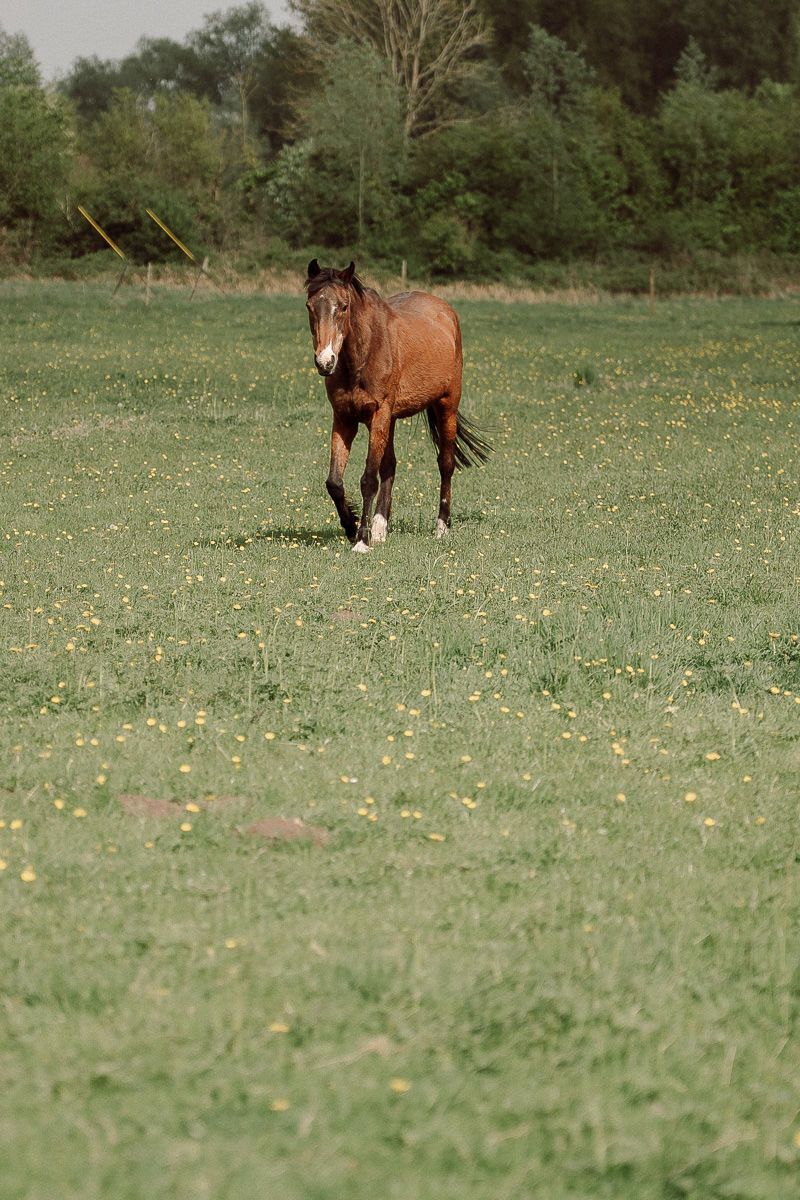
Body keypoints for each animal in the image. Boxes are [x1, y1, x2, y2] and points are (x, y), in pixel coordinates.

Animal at [305, 259, 491, 552]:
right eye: (310, 306)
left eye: (343, 307)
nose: (325, 361)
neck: (363, 355)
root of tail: (444, 310)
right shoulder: (344, 418)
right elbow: (334, 481)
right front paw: (351, 526)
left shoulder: (378, 414)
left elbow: (368, 479)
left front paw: (362, 540)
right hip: (390, 420)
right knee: (390, 465)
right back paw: (381, 527)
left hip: (446, 406)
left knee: (445, 463)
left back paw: (441, 527)